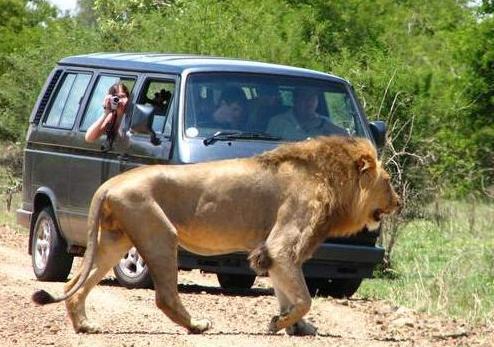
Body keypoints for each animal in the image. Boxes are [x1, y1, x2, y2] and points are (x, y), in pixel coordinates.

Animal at [31, 137, 402, 338]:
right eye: (388, 182)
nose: (399, 202)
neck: (332, 180)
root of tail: (109, 184)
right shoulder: (283, 243)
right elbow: (303, 297)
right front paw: (279, 323)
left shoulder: (274, 252)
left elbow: (288, 293)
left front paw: (298, 328)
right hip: (159, 232)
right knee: (164, 295)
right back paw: (196, 325)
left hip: (114, 240)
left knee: (74, 284)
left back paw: (84, 326)